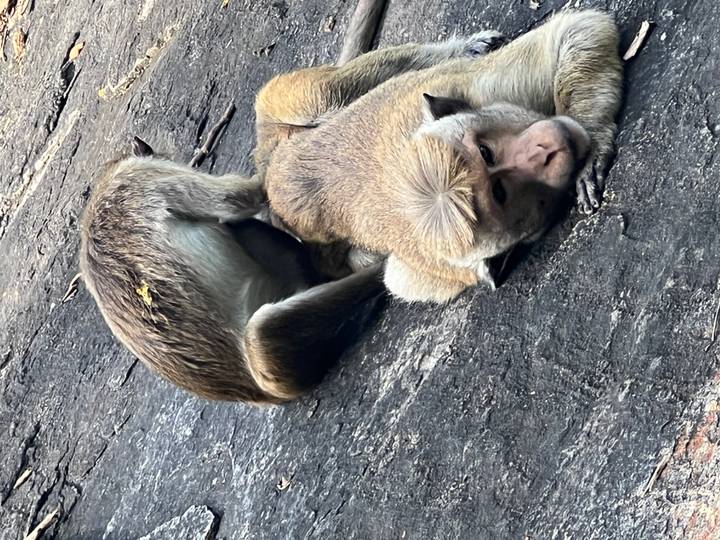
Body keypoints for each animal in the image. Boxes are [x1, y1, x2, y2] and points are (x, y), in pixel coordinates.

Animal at [256, 10, 622, 302]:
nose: (546, 149)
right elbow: (401, 280)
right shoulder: (440, 267)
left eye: (485, 152)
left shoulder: (489, 89)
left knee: (328, 92)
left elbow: (577, 29)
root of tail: (268, 172)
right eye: (500, 193)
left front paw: (592, 141)